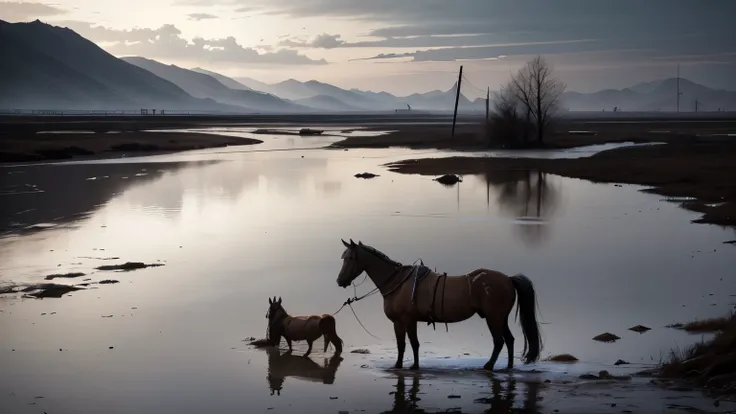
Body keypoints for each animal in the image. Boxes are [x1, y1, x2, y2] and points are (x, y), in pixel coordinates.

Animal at [334, 239, 540, 372]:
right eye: (342, 257)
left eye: (350, 258)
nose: (339, 281)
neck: (399, 282)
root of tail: (508, 279)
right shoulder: (409, 321)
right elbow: (412, 344)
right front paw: (412, 365)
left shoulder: (402, 321)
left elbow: (404, 344)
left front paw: (403, 365)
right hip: (500, 318)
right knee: (510, 339)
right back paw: (509, 366)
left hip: (493, 318)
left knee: (499, 341)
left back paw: (489, 366)